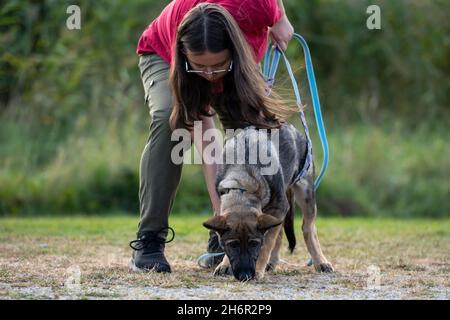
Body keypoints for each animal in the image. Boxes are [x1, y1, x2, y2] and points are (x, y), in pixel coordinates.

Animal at [202, 124, 332, 282]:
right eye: (233, 245)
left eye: (254, 244)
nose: (245, 276)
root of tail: (290, 127)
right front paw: (225, 264)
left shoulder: (279, 208)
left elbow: (267, 244)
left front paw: (258, 270)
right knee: (280, 231)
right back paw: (273, 261)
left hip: (305, 194)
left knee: (308, 228)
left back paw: (320, 261)